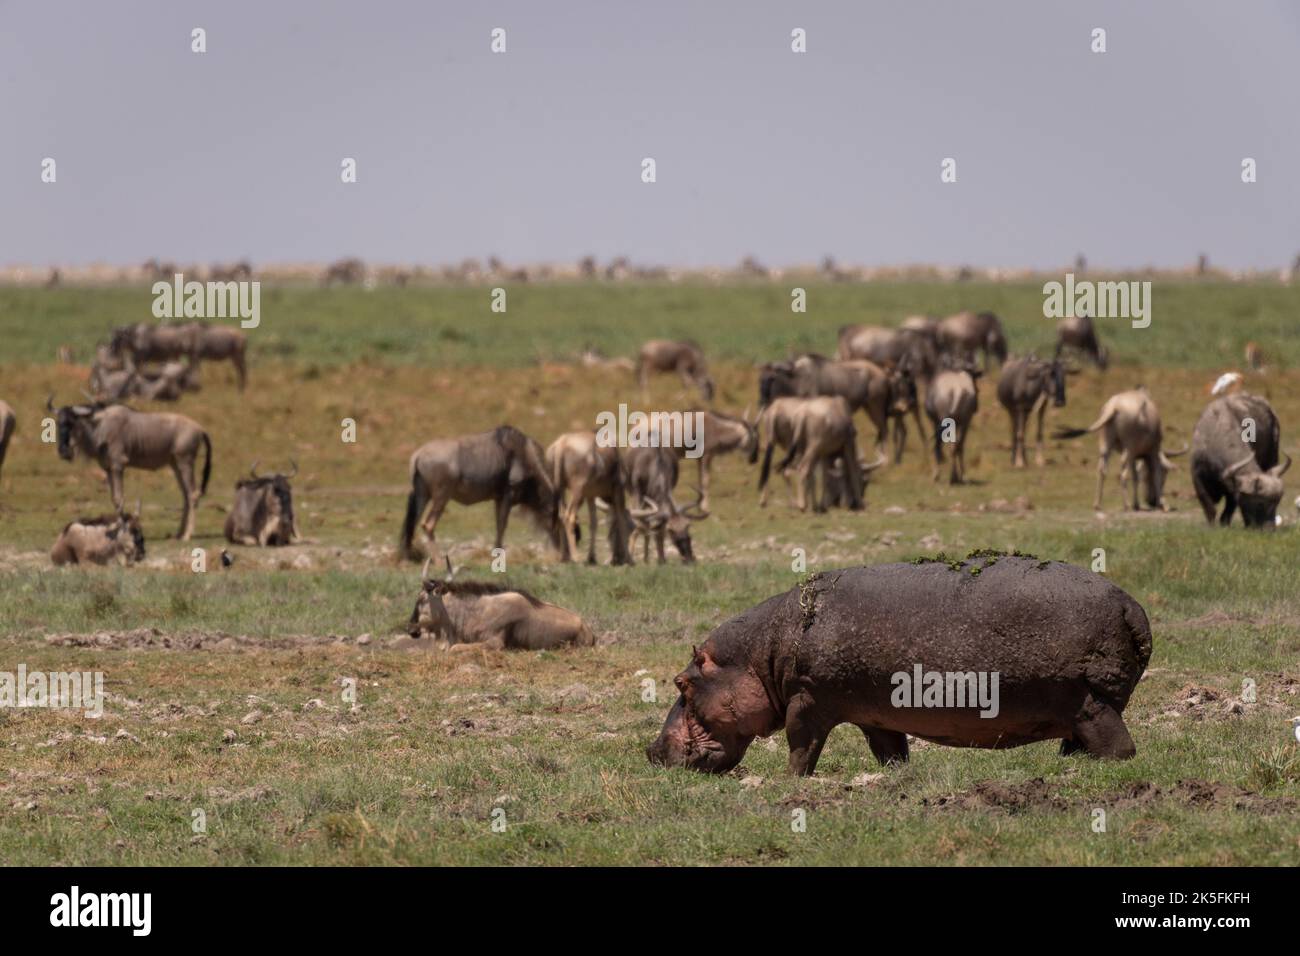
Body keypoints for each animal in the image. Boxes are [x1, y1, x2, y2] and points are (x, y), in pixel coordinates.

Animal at [647, 554, 1149, 780]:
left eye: (681, 683)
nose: (651, 750)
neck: (759, 655)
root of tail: (1131, 605)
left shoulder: (807, 699)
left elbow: (800, 744)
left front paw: (789, 781)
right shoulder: (873, 713)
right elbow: (889, 749)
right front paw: (896, 776)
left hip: (1089, 703)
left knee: (1121, 748)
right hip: (1081, 712)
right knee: (1078, 744)